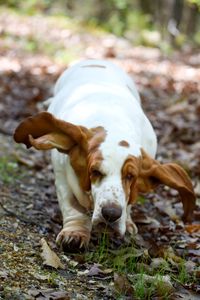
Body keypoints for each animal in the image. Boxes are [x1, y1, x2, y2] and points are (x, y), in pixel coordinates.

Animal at [14, 59, 195, 250]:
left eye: (130, 176)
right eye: (95, 172)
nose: (111, 214)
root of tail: (94, 61)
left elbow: (129, 201)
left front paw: (127, 223)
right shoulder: (62, 176)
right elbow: (71, 206)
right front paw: (74, 233)